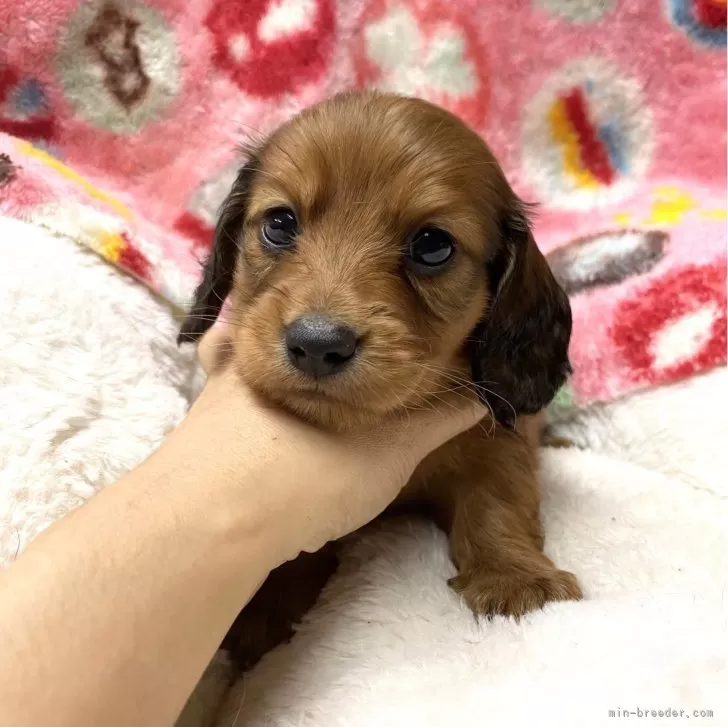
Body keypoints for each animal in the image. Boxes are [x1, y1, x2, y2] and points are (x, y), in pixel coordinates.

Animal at [179, 91, 584, 672]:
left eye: (433, 245)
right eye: (279, 223)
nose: (317, 344)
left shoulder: (499, 439)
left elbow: (499, 500)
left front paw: (517, 578)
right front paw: (269, 608)